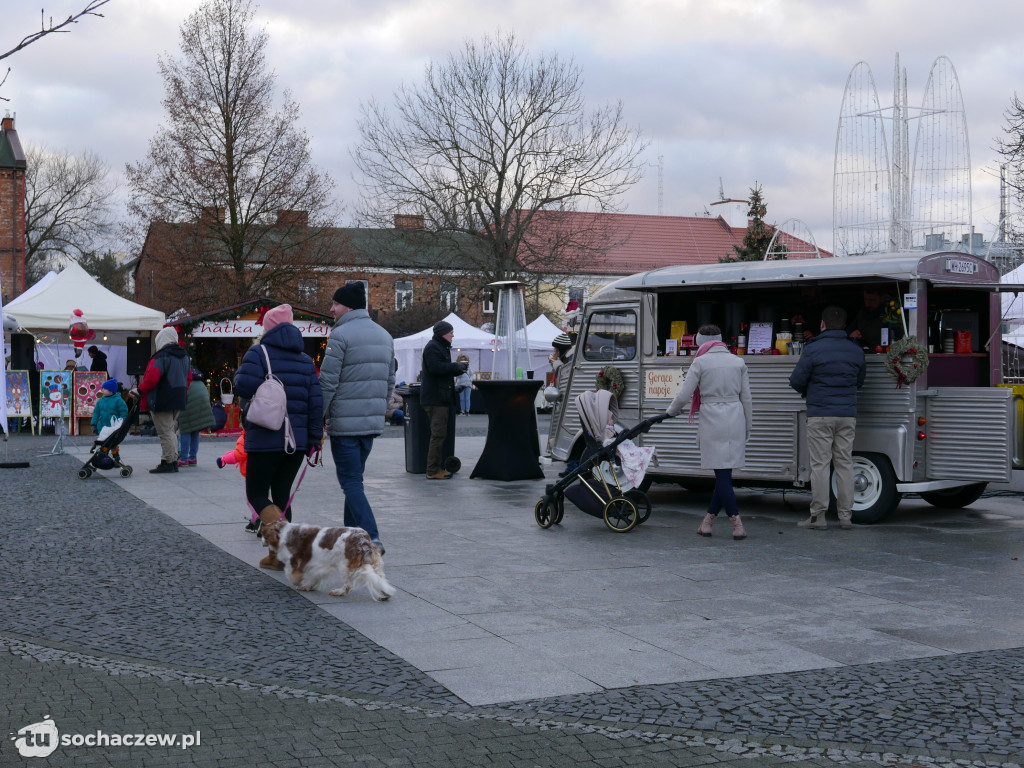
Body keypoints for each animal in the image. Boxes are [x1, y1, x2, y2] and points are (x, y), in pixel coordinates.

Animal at [262, 520, 393, 606]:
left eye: (263, 534)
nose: (261, 539)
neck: (283, 532)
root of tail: (363, 540)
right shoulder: (317, 566)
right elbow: (313, 577)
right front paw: (308, 586)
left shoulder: (297, 561)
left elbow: (291, 574)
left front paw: (300, 584)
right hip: (375, 564)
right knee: (381, 579)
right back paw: (384, 595)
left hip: (344, 565)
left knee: (348, 586)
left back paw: (338, 592)